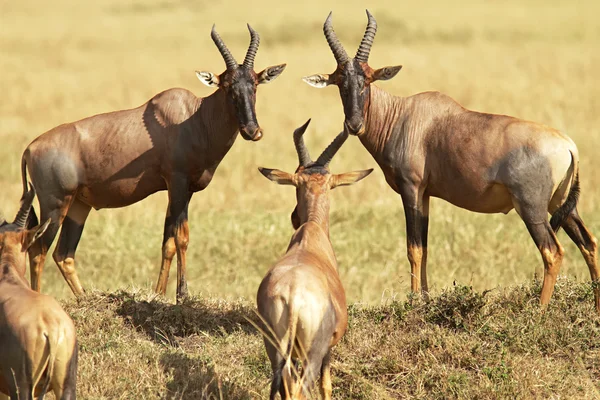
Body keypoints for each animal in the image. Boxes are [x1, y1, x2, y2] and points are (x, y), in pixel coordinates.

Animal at [19, 23, 288, 302]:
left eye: (254, 84)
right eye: (226, 86)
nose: (252, 131)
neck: (194, 117)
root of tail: (30, 149)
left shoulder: (181, 191)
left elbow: (167, 242)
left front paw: (159, 295)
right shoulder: (178, 183)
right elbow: (182, 237)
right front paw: (182, 295)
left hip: (78, 206)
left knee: (63, 254)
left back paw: (85, 298)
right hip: (55, 205)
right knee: (38, 250)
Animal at [256, 119, 372, 400]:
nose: (294, 217)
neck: (310, 234)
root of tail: (293, 295)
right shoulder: (328, 346)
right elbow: (326, 384)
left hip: (276, 348)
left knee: (286, 385)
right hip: (312, 351)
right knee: (302, 388)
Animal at [304, 8, 600, 310]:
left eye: (367, 81)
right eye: (340, 82)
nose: (354, 125)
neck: (403, 116)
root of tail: (568, 146)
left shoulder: (411, 189)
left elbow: (413, 248)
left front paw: (414, 302)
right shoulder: (425, 194)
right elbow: (424, 247)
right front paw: (424, 301)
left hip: (532, 208)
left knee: (552, 251)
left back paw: (539, 311)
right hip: (561, 205)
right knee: (589, 243)